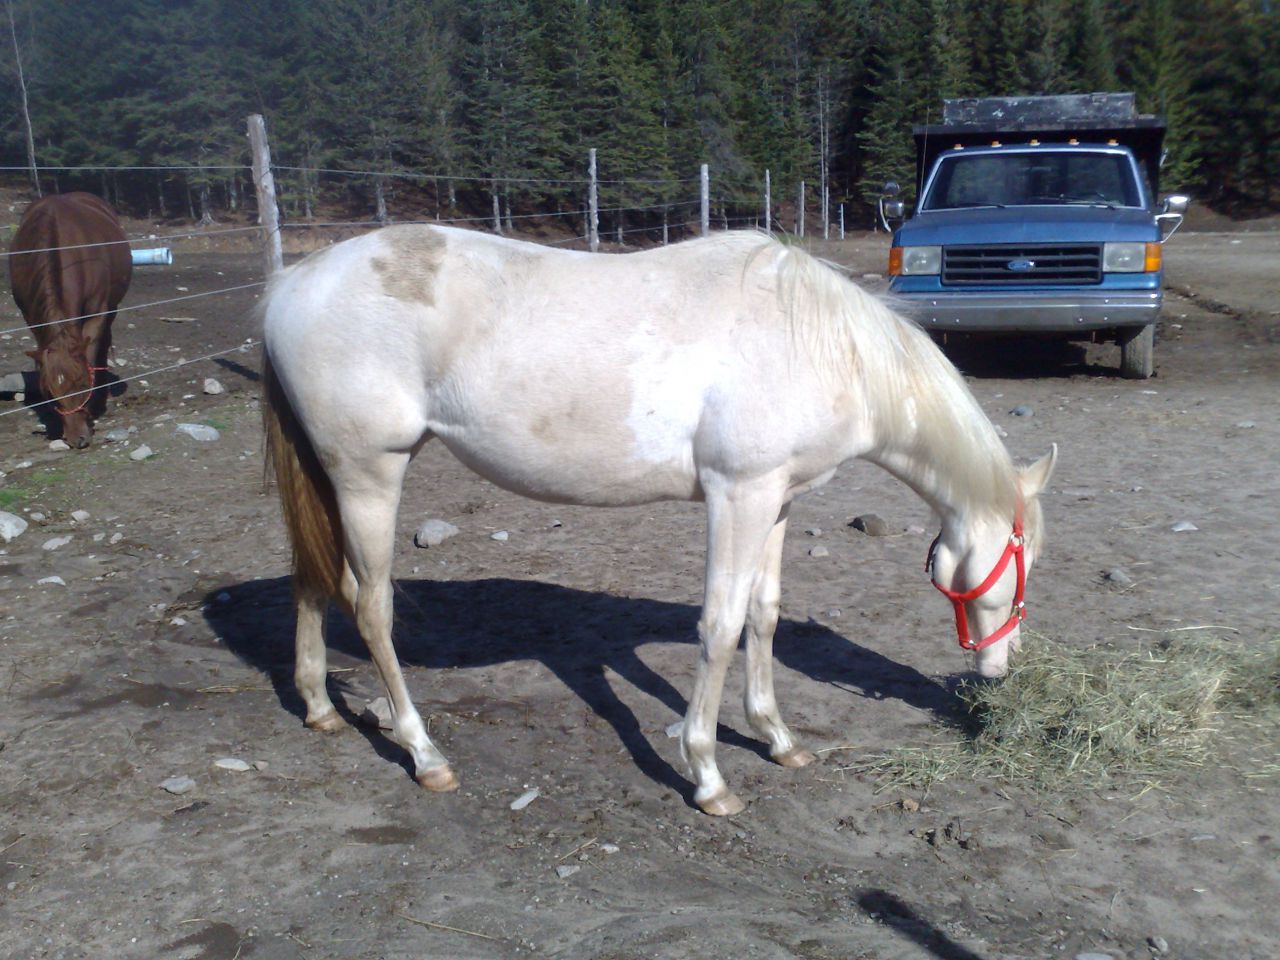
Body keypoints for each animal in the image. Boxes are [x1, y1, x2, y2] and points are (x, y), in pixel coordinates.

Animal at [9, 192, 132, 448]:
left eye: (83, 385)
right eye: (50, 392)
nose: (78, 439)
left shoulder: (97, 313)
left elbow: (92, 354)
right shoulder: (32, 319)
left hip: (112, 308)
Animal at [261, 225, 1057, 816]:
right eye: (1023, 565)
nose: (1000, 669)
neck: (815, 342)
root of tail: (289, 288)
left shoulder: (777, 500)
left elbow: (763, 614)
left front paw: (777, 737)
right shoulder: (738, 496)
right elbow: (720, 626)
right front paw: (708, 775)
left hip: (330, 477)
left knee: (312, 579)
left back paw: (319, 707)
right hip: (369, 474)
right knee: (370, 606)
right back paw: (426, 756)